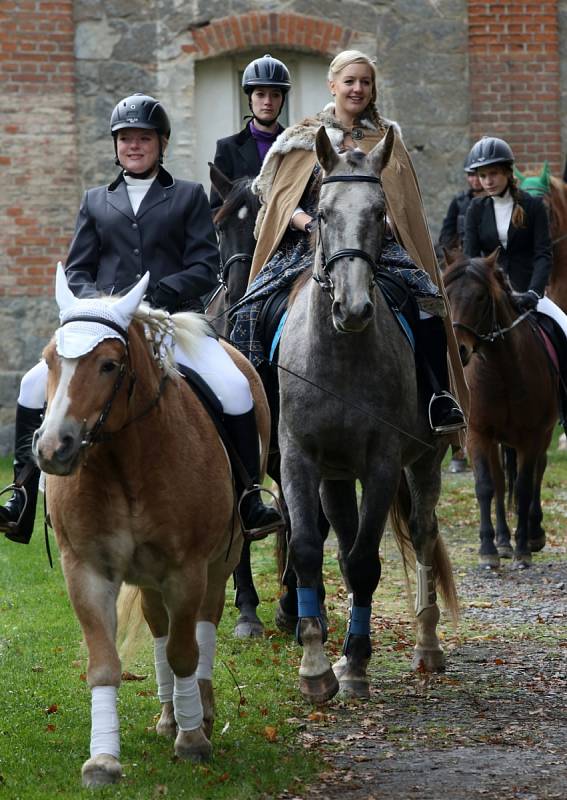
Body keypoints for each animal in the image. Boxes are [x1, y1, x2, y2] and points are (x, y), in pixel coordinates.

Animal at [278, 128, 460, 704]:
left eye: (380, 213)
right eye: (323, 211)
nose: (353, 308)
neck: (340, 355)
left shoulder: (381, 464)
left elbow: (364, 563)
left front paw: (356, 662)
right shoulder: (298, 460)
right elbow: (310, 551)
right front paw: (316, 666)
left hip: (424, 461)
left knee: (422, 533)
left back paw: (427, 646)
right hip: (335, 476)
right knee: (339, 542)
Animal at [444, 250, 560, 568]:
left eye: (481, 297)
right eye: (446, 294)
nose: (458, 350)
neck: (500, 368)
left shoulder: (532, 435)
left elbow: (523, 487)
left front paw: (522, 550)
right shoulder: (478, 433)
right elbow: (486, 486)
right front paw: (489, 549)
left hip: (542, 433)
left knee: (537, 472)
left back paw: (533, 534)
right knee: (498, 480)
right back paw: (503, 541)